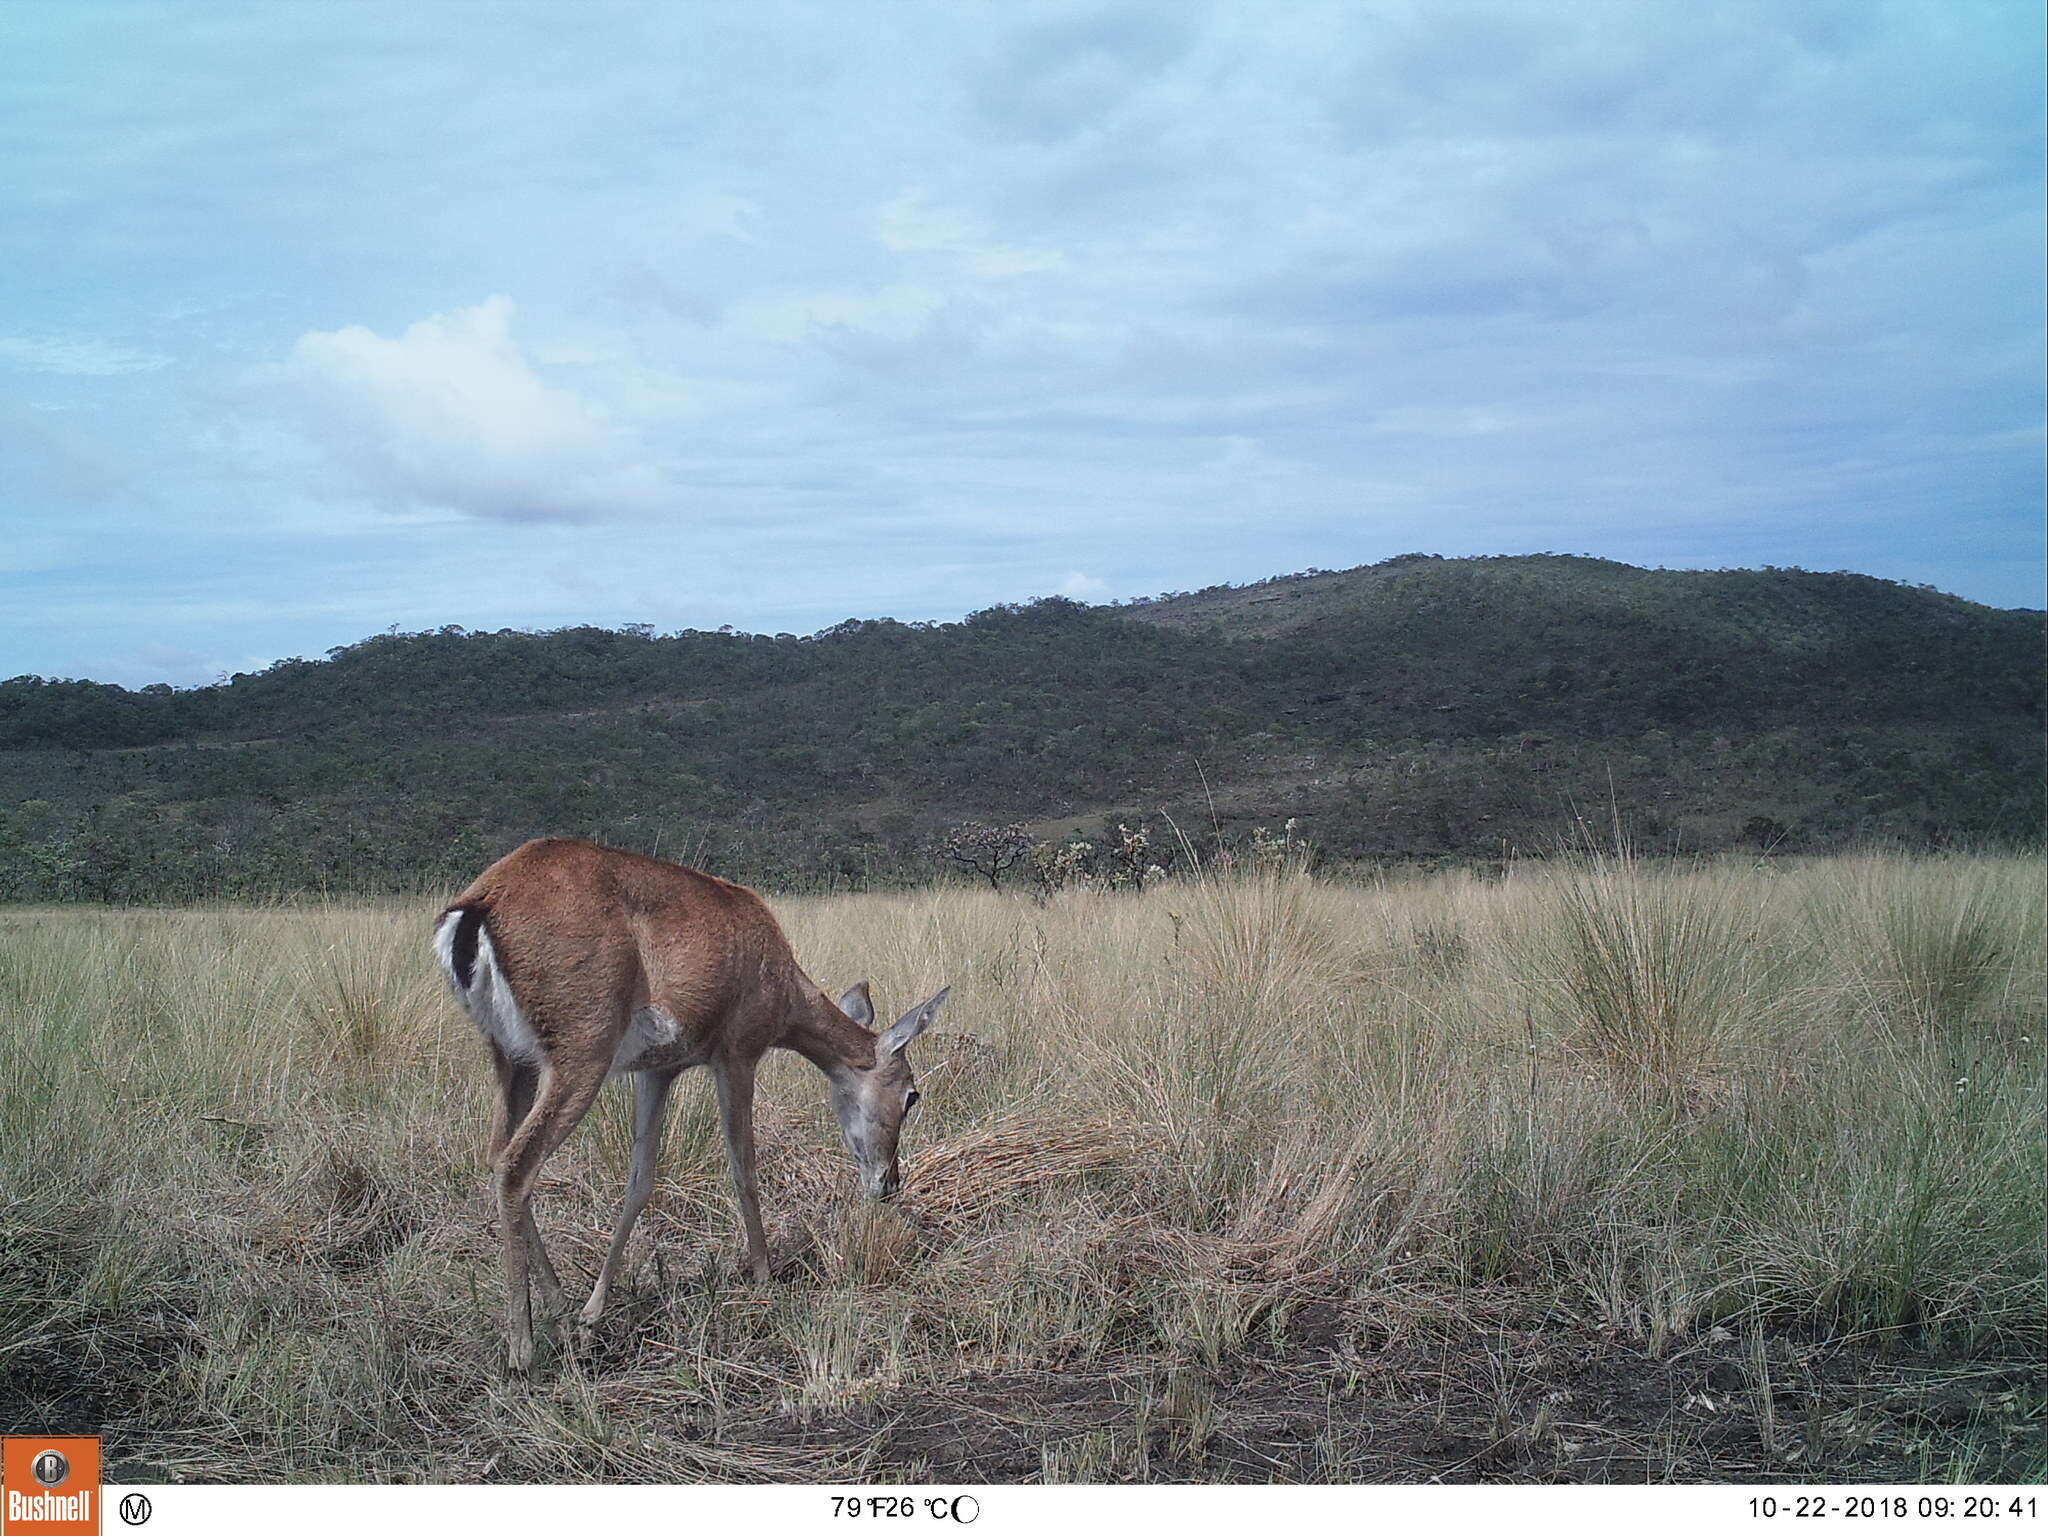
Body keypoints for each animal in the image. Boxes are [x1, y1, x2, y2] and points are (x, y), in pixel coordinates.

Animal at [432, 835, 950, 1376]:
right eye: (911, 1094)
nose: (889, 1183)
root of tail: (482, 903)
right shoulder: (737, 1058)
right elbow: (743, 1169)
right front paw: (764, 1279)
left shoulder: (657, 1073)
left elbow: (640, 1183)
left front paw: (593, 1314)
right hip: (578, 1065)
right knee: (516, 1167)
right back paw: (523, 1350)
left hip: (515, 1063)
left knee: (497, 1156)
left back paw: (561, 1307)